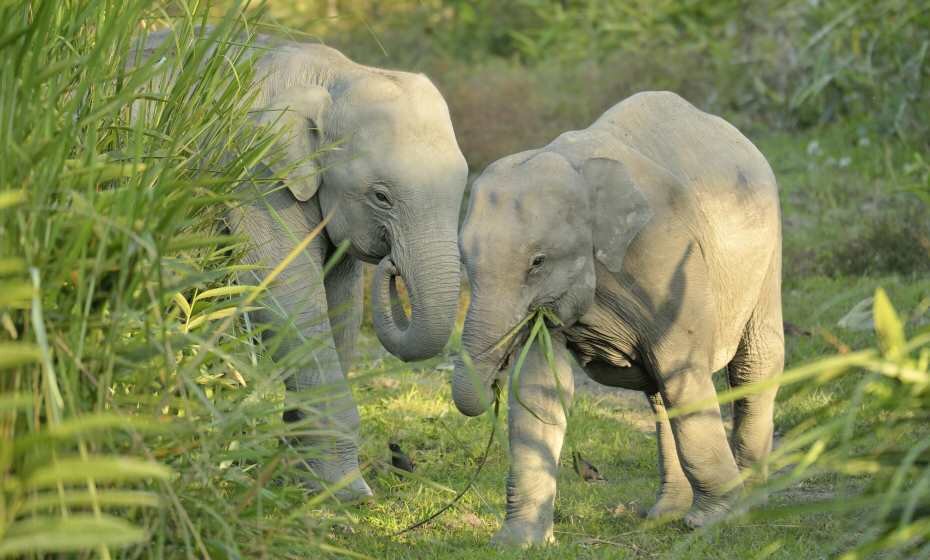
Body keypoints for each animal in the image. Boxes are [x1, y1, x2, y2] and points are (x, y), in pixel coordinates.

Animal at [139, 29, 468, 498]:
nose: (391, 267)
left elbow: (340, 307)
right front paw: (345, 493)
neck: (334, 75)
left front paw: (303, 480)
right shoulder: (252, 170)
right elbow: (284, 293)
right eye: (381, 197)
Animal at [454, 91, 780, 544]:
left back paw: (750, 500)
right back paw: (663, 513)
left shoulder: (664, 255)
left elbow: (682, 371)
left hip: (766, 255)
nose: (494, 377)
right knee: (659, 394)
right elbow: (540, 387)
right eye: (464, 261)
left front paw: (711, 523)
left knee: (752, 365)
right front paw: (519, 542)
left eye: (537, 262)